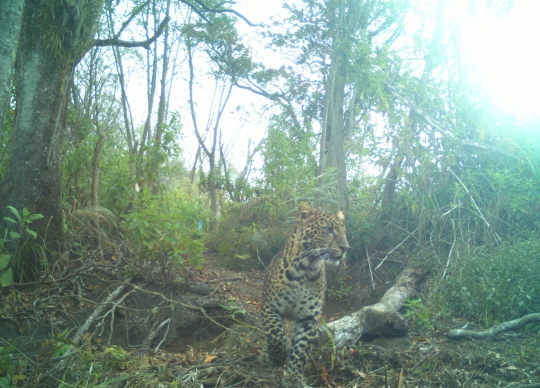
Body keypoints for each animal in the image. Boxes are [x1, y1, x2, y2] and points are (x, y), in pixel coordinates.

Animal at [262, 202, 350, 386]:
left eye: (344, 231)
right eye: (328, 229)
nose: (346, 248)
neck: (305, 268)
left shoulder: (308, 318)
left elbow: (301, 350)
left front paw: (294, 378)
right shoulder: (269, 307)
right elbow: (275, 336)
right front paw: (278, 356)